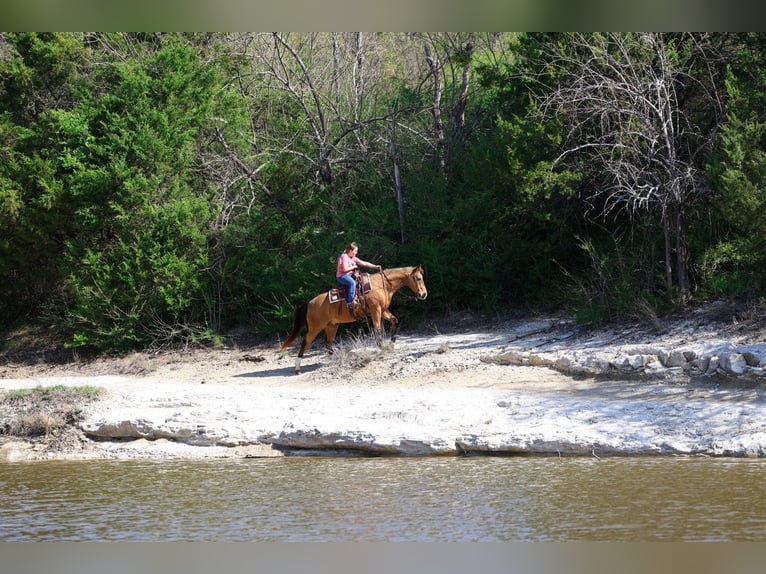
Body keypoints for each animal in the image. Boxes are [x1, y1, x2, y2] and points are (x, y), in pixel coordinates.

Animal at [279, 265, 428, 374]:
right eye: (418, 278)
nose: (424, 294)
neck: (381, 285)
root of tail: (309, 303)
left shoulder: (384, 310)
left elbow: (395, 321)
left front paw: (391, 344)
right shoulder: (376, 311)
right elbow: (378, 329)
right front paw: (381, 348)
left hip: (332, 326)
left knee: (328, 343)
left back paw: (337, 357)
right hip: (315, 328)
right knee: (306, 343)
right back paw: (297, 368)